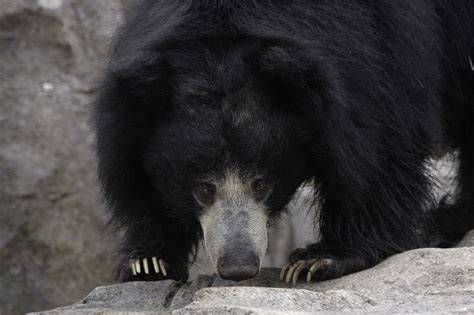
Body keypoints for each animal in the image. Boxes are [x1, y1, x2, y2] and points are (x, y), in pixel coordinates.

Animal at [94, 0, 472, 286]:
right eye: (203, 188)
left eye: (262, 183)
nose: (238, 267)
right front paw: (149, 262)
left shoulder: (382, 53)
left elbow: (378, 149)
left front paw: (318, 260)